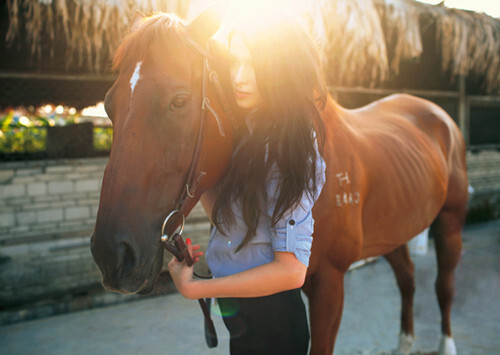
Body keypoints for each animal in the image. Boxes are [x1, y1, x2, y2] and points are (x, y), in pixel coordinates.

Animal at [91, 11, 468, 355]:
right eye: (109, 105)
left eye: (179, 100)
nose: (111, 254)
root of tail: (440, 116)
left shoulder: (329, 282)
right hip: (393, 230)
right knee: (407, 277)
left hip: (449, 221)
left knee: (445, 285)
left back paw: (447, 343)